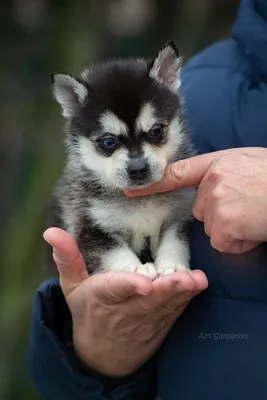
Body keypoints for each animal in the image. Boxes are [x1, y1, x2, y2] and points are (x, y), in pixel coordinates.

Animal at [49, 40, 197, 278]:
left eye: (156, 131)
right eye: (108, 141)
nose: (138, 169)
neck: (141, 201)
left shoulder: (179, 216)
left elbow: (175, 241)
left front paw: (172, 265)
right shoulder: (88, 224)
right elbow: (114, 251)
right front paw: (134, 268)